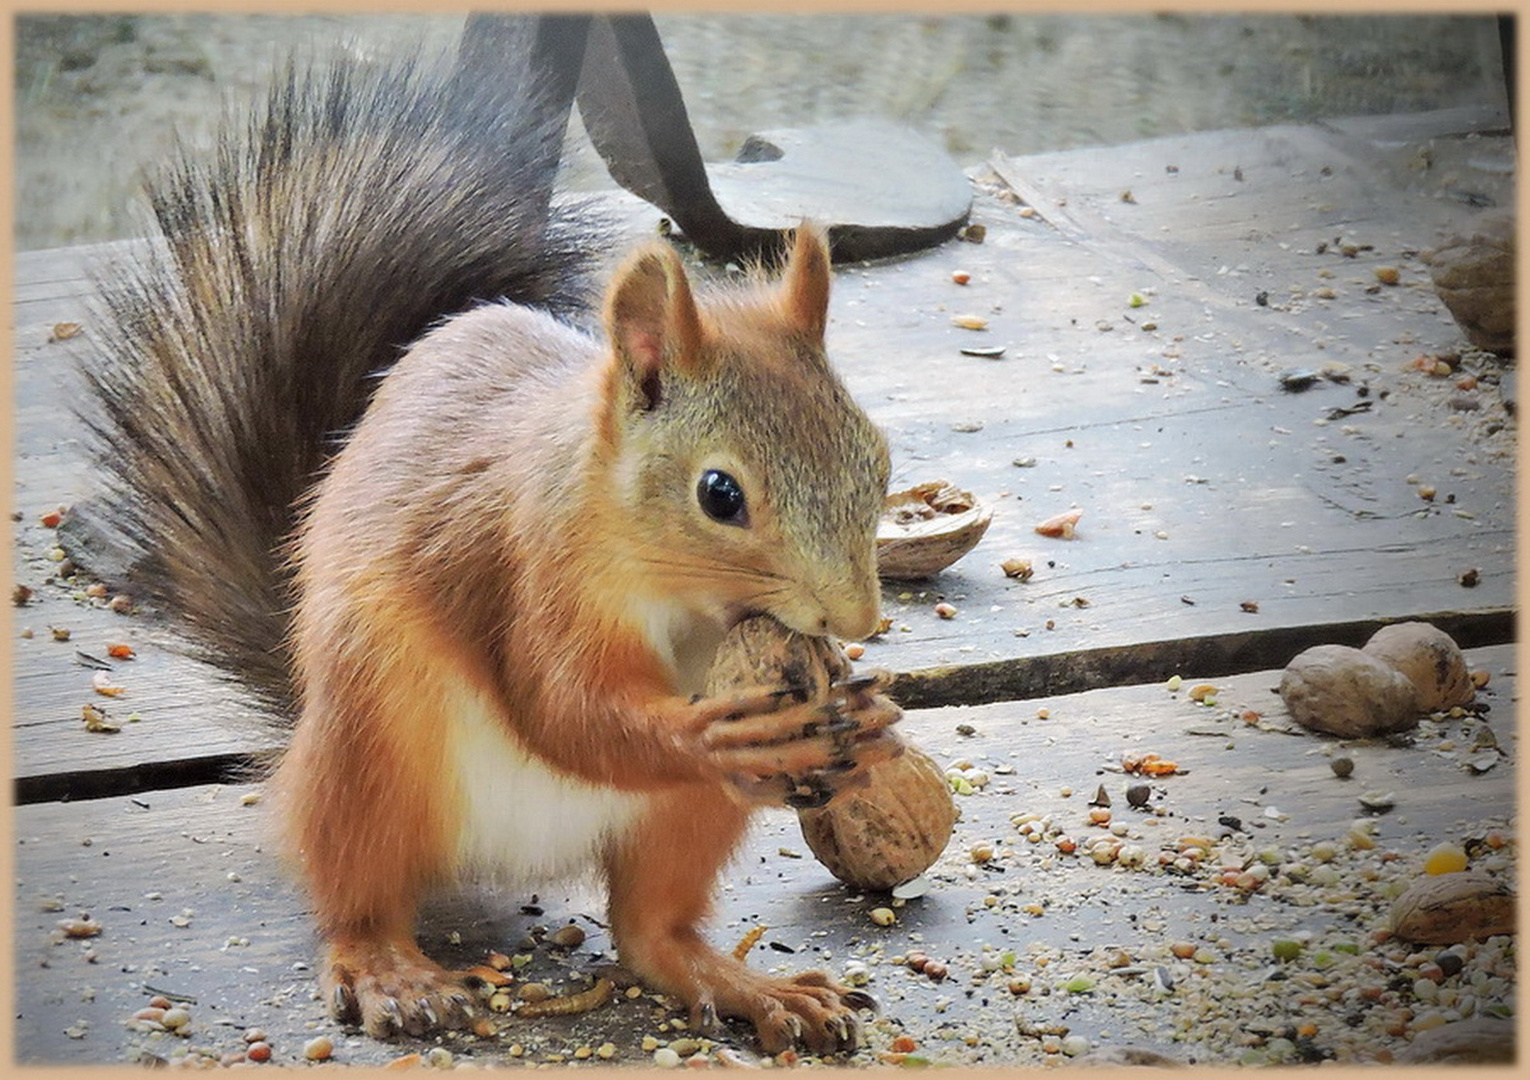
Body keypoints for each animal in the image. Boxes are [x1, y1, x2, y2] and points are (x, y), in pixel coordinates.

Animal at [74, 37, 893, 1046]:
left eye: (877, 457)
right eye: (720, 494)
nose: (857, 617)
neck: (682, 598)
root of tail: (516, 854)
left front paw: (867, 713)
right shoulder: (530, 566)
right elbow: (564, 709)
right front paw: (712, 732)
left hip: (679, 821)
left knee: (651, 931)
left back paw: (746, 984)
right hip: (372, 740)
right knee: (357, 889)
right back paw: (389, 971)